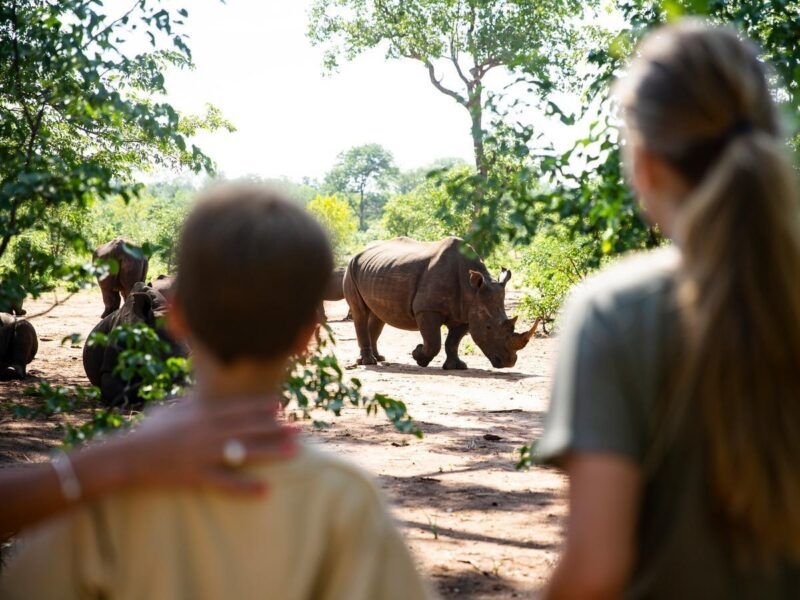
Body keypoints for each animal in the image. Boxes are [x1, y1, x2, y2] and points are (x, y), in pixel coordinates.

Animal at [344, 237, 536, 369]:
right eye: (488, 327)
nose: (509, 362)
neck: (472, 289)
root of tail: (360, 251)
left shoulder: (465, 312)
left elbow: (453, 341)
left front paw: (456, 367)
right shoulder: (426, 309)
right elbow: (433, 341)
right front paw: (418, 355)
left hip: (375, 270)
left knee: (378, 315)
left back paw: (379, 358)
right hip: (351, 267)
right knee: (360, 312)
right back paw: (369, 362)